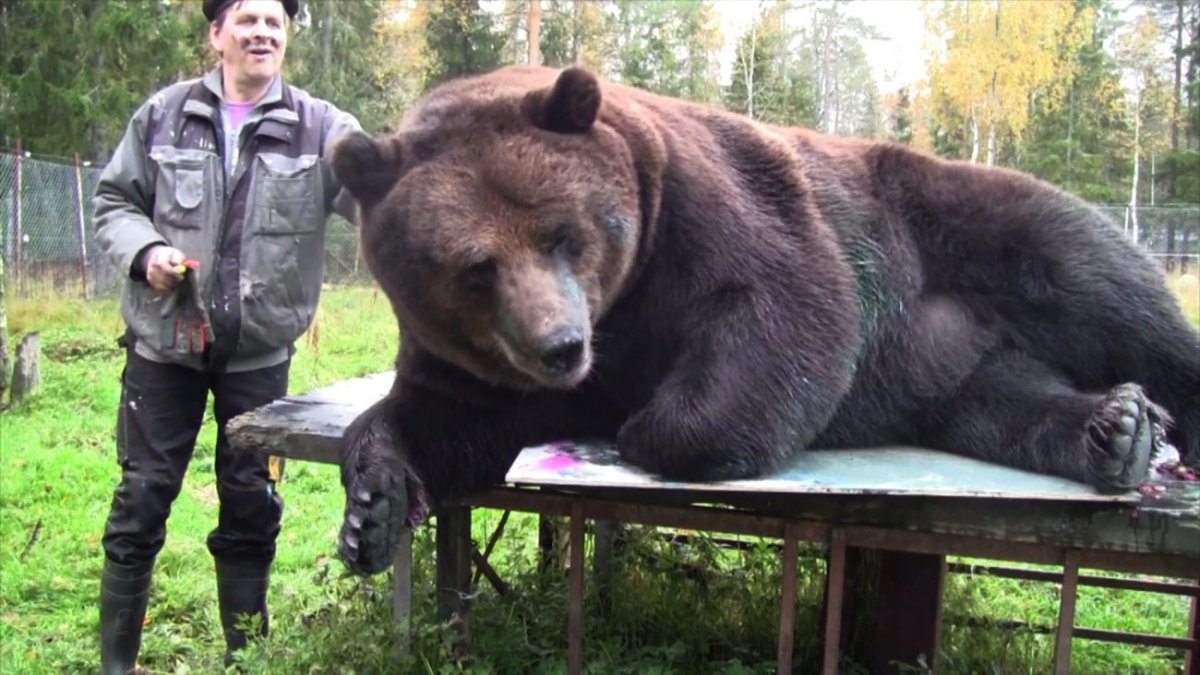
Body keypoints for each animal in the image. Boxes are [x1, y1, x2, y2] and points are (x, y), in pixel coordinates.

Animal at [328, 65, 1200, 576]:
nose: (560, 347)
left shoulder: (712, 206)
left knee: (1107, 290)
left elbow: (783, 306)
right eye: (476, 267)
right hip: (948, 366)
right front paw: (372, 509)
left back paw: (1151, 417)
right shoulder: (474, 363)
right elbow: (435, 416)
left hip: (967, 226)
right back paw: (1114, 429)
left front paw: (646, 426)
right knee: (1004, 402)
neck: (622, 310)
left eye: (562, 233)